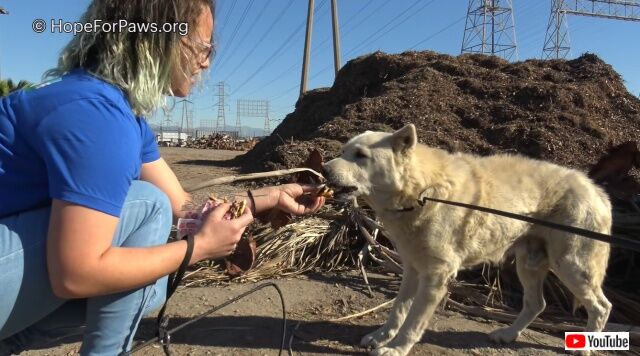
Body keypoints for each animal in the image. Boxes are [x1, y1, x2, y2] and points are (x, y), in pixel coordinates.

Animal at [322, 124, 612, 354]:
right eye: (344, 151)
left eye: (361, 155)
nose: (323, 169)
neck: (422, 192)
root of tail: (596, 190)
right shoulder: (412, 268)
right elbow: (398, 310)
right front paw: (382, 337)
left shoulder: (437, 275)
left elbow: (413, 320)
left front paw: (397, 348)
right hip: (529, 263)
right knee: (536, 304)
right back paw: (507, 334)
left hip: (572, 266)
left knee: (601, 307)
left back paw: (584, 348)